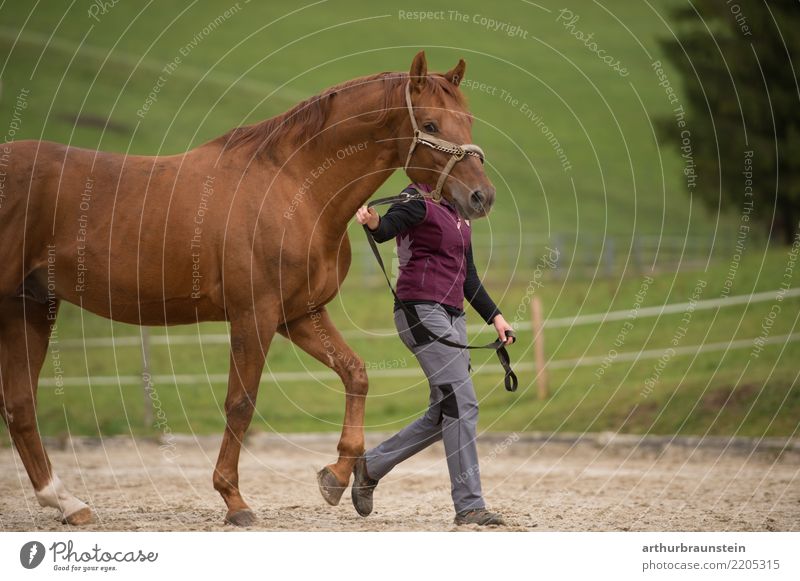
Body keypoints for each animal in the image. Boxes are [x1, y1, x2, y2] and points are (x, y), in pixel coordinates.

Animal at [0, 51, 496, 524]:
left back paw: (67, 503)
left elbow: (356, 374)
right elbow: (241, 402)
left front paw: (336, 477)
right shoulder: (253, 315)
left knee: (21, 407)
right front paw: (233, 499)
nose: (482, 197)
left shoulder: (298, 315)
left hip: (31, 305)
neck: (293, 188)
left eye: (468, 120)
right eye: (430, 124)